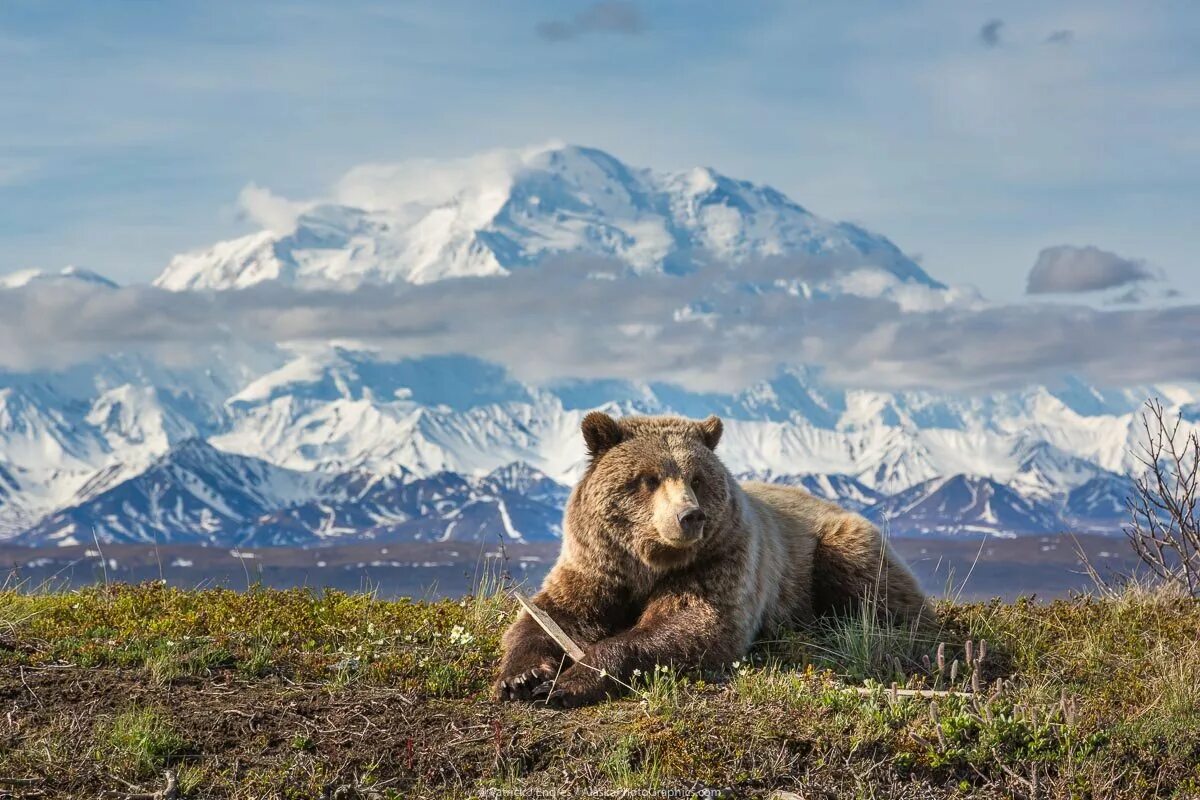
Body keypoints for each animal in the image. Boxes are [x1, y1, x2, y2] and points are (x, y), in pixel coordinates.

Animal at [492, 412, 921, 705]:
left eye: (696, 477)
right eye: (648, 478)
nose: (690, 516)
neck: (649, 563)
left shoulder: (718, 560)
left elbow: (692, 624)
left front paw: (572, 680)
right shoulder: (598, 566)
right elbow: (555, 614)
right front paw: (523, 677)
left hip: (833, 546)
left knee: (876, 591)